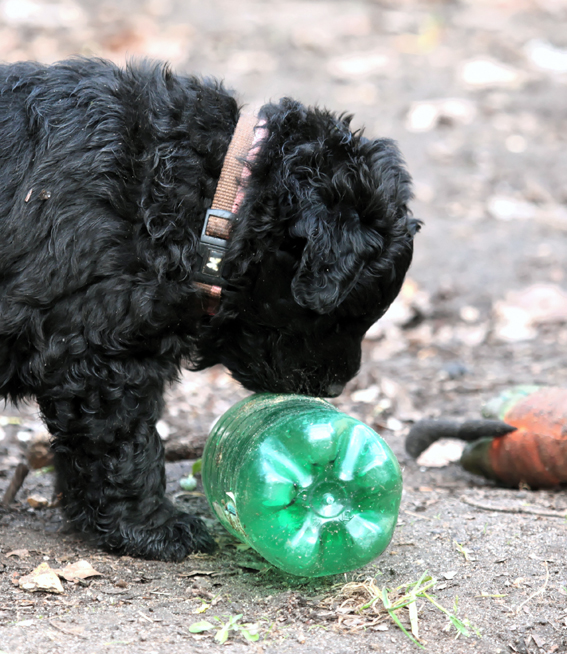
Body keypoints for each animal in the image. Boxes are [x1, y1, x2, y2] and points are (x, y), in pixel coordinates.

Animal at [0, 57, 418, 564]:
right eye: (346, 314)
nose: (335, 390)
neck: (215, 194)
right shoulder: (99, 359)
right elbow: (125, 447)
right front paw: (153, 529)